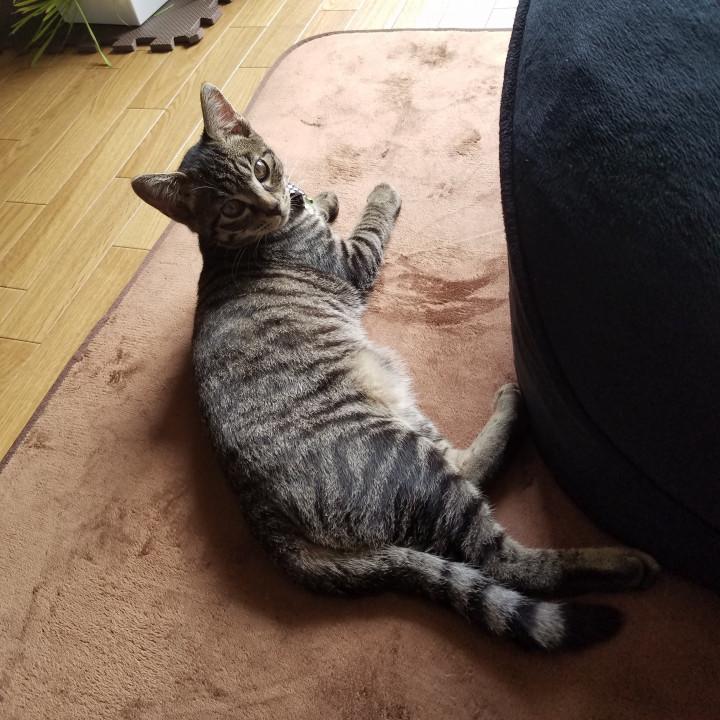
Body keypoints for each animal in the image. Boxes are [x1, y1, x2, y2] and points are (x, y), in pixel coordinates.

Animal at [131, 83, 659, 651]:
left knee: (469, 468)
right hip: (406, 461)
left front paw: (320, 197)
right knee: (505, 560)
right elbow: (373, 221)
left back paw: (512, 406)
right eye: (231, 207)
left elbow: (317, 199)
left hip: (409, 425)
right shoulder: (353, 260)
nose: (271, 204)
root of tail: (265, 521)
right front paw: (373, 195)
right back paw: (623, 562)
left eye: (262, 166)